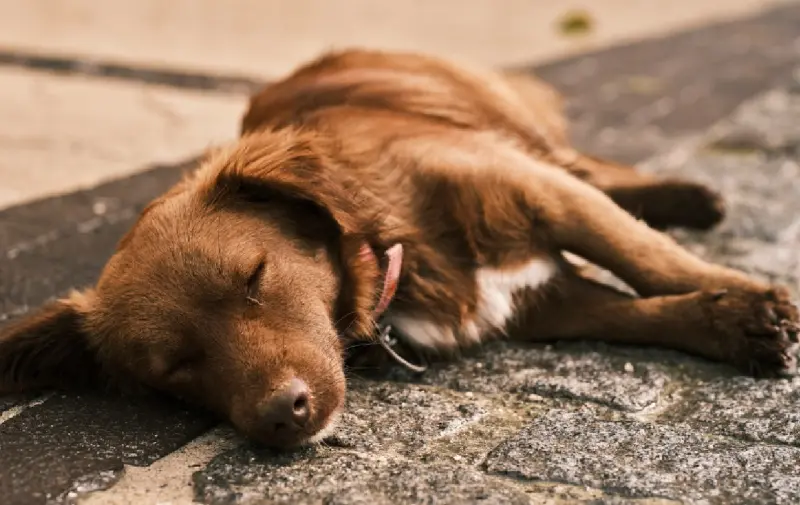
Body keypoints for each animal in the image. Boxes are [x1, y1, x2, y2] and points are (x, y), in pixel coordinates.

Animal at [1, 49, 800, 446]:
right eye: (174, 367)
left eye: (255, 276)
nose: (281, 416)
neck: (393, 248)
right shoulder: (543, 301)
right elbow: (637, 310)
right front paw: (732, 322)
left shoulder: (536, 188)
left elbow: (645, 258)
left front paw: (749, 295)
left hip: (513, 123)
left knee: (593, 168)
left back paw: (688, 197)